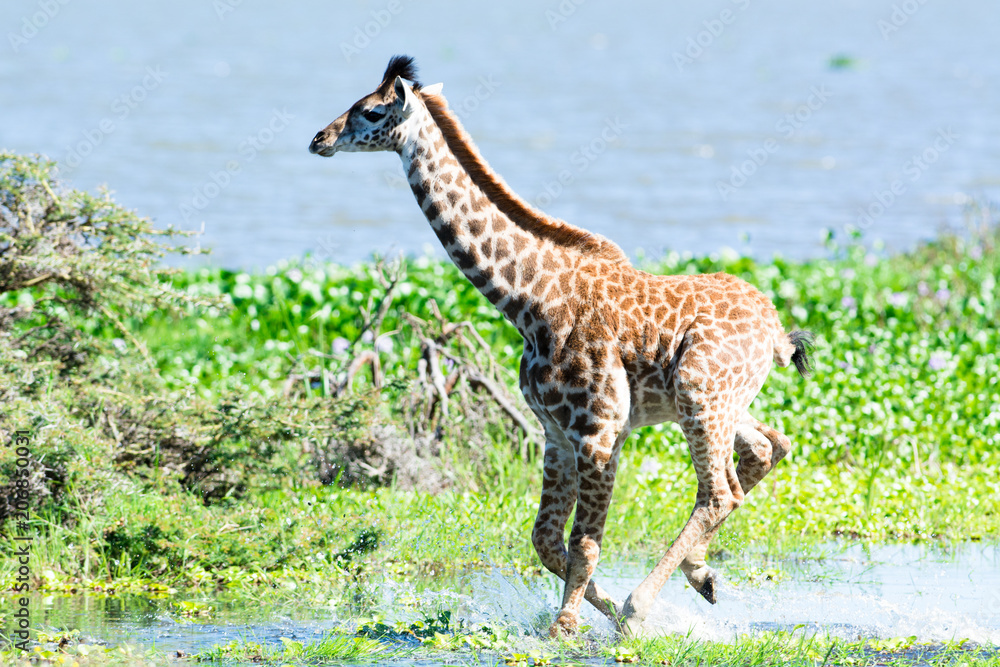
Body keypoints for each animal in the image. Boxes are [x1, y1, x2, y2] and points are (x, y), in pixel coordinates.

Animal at [309, 56, 813, 638]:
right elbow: (546, 541)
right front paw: (597, 611)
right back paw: (700, 576)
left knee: (718, 490)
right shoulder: (555, 433)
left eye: (370, 111)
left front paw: (570, 625)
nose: (319, 139)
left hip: (698, 394)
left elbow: (583, 543)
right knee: (767, 447)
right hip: (715, 401)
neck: (526, 301)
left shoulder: (598, 432)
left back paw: (644, 603)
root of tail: (775, 330)